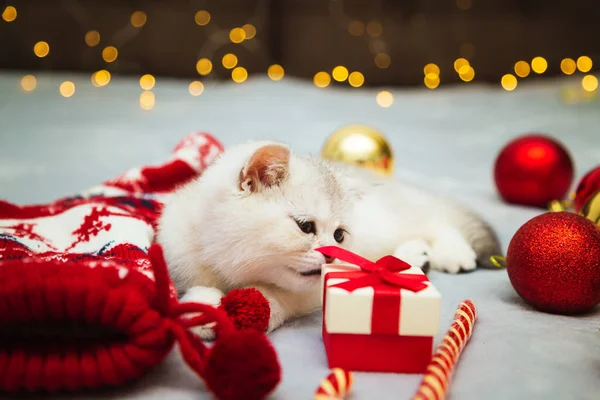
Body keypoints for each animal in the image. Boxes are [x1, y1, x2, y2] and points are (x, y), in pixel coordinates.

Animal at [157, 142, 500, 336]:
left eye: (338, 235)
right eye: (305, 227)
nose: (333, 254)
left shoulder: (311, 291)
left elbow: (280, 297)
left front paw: (256, 306)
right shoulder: (178, 253)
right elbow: (198, 287)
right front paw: (203, 308)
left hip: (391, 220)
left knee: (436, 220)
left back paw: (451, 252)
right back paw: (412, 257)